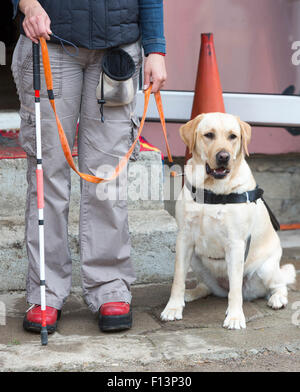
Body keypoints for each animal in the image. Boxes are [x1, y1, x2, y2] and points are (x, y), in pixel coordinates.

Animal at [162, 112, 296, 328]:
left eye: (233, 136)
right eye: (209, 135)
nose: (223, 157)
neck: (212, 190)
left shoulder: (236, 244)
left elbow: (235, 289)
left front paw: (234, 317)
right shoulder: (184, 238)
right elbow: (178, 279)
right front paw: (173, 307)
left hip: (266, 269)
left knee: (278, 284)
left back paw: (277, 299)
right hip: (197, 261)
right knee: (207, 287)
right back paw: (190, 294)